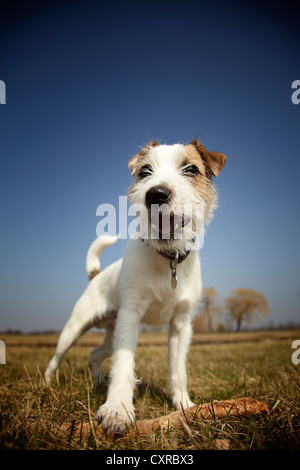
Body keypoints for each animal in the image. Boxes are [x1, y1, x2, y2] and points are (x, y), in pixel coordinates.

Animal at [44, 140, 226, 434]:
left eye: (191, 169)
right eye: (144, 171)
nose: (157, 194)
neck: (167, 260)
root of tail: (96, 276)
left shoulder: (180, 324)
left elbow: (178, 369)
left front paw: (184, 404)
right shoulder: (131, 315)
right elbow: (123, 365)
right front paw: (117, 410)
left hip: (112, 332)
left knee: (95, 354)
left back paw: (98, 381)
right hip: (76, 328)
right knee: (57, 357)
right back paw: (47, 383)